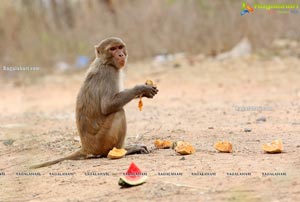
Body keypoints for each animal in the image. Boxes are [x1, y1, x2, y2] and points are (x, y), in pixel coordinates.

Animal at [31, 37, 159, 168]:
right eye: (113, 49)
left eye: (120, 47)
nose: (121, 54)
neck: (105, 62)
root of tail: (86, 148)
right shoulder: (109, 73)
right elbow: (108, 105)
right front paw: (142, 88)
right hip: (100, 142)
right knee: (118, 113)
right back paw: (120, 151)